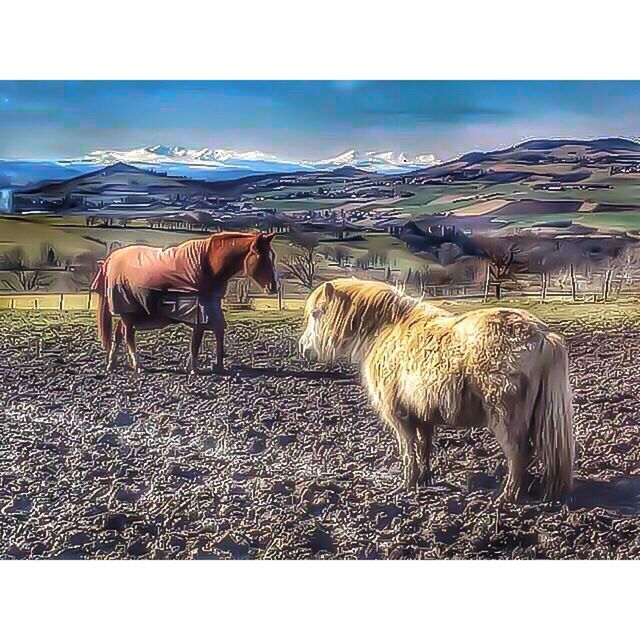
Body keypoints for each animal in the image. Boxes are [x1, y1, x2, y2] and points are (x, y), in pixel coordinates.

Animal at [92, 230, 278, 372]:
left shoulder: (211, 306)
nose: (273, 287)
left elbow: (218, 331)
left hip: (130, 311)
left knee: (119, 333)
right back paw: (137, 365)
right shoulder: (199, 309)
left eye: (273, 256)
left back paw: (112, 364)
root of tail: (111, 259)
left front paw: (218, 366)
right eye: (261, 257)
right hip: (127, 310)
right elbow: (196, 340)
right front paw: (194, 369)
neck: (209, 265)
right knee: (128, 335)